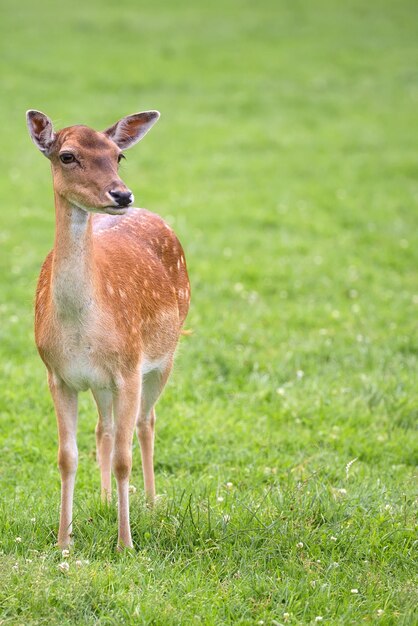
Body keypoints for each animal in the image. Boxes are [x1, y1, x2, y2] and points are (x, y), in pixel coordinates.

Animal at [25, 108, 189, 544]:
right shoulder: (57, 375)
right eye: (67, 156)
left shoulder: (128, 369)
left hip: (165, 355)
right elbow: (67, 456)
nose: (122, 195)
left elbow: (123, 458)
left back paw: (150, 503)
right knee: (105, 428)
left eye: (119, 155)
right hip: (100, 383)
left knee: (146, 423)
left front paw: (125, 543)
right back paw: (101, 500)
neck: (80, 330)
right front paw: (64, 542)